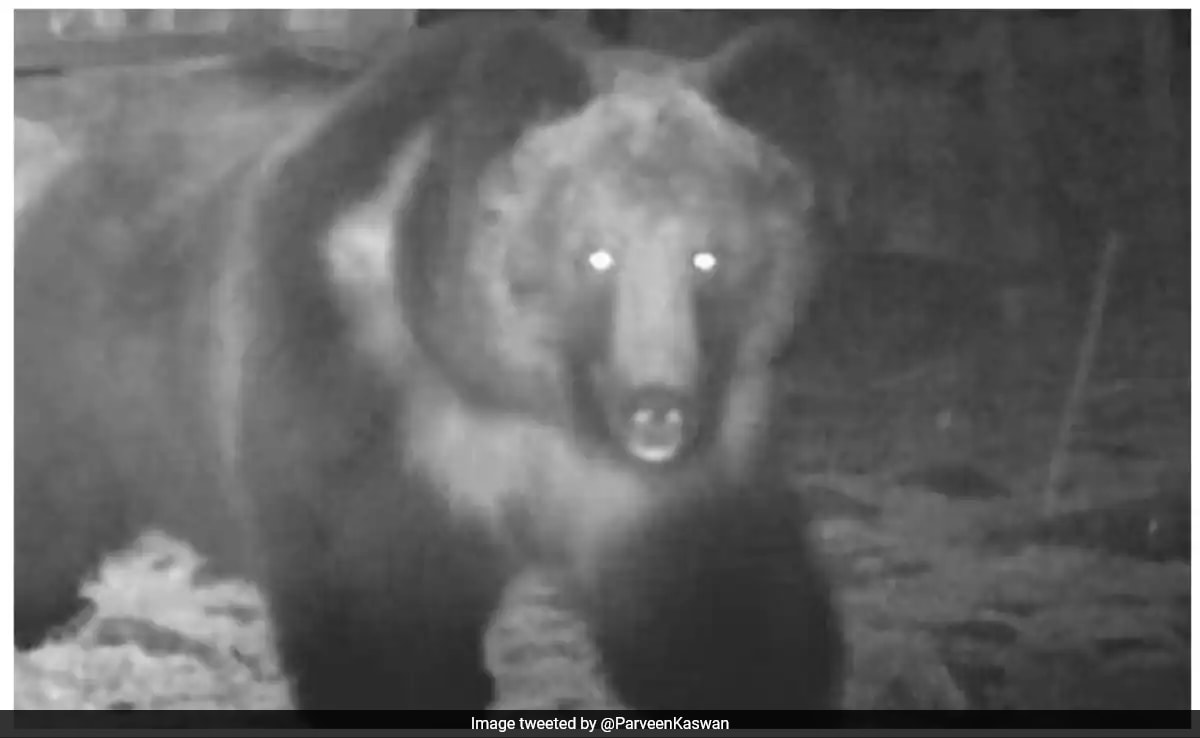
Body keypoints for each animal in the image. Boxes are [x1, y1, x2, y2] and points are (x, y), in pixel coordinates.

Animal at [15, 16, 845, 712]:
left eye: (711, 256)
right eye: (595, 253)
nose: (657, 408)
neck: (514, 394)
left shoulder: (677, 471)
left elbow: (718, 606)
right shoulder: (358, 408)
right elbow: (384, 616)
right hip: (87, 350)